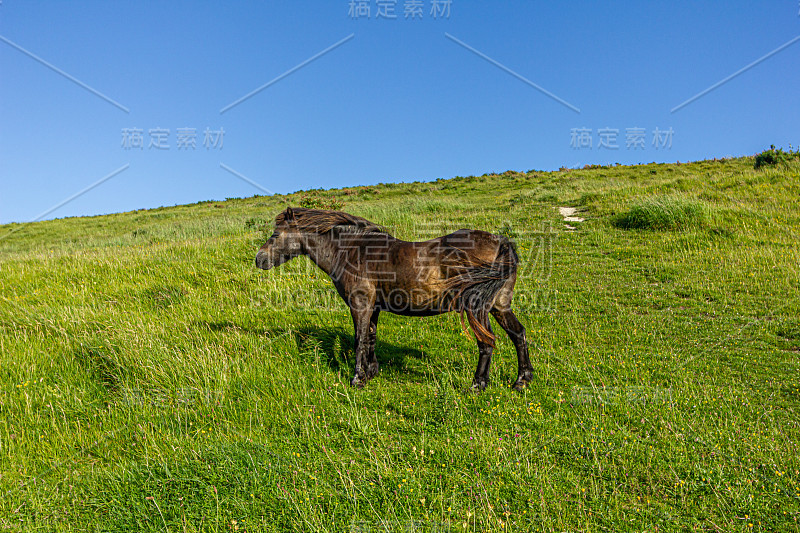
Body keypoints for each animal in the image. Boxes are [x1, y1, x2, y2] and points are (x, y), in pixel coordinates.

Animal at [256, 208, 532, 390]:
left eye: (276, 234)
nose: (259, 259)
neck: (352, 251)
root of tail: (502, 242)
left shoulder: (360, 305)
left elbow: (359, 339)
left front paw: (357, 379)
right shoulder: (374, 307)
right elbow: (371, 337)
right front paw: (371, 372)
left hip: (478, 308)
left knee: (487, 342)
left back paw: (478, 384)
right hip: (499, 305)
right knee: (518, 333)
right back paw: (522, 380)